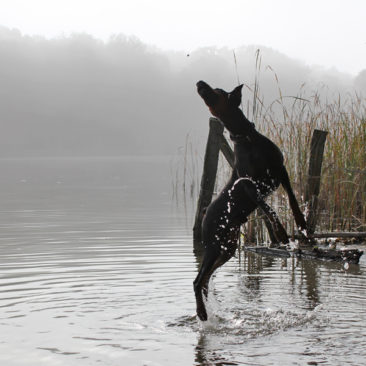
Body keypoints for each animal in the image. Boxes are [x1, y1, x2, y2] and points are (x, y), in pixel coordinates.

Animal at [193, 81, 308, 320]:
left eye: (217, 91)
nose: (199, 82)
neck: (246, 137)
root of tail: (204, 214)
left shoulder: (280, 169)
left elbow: (292, 199)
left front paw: (301, 222)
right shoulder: (247, 183)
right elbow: (268, 208)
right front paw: (281, 232)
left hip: (226, 248)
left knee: (205, 279)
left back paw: (205, 308)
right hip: (214, 244)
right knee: (197, 280)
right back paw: (202, 312)